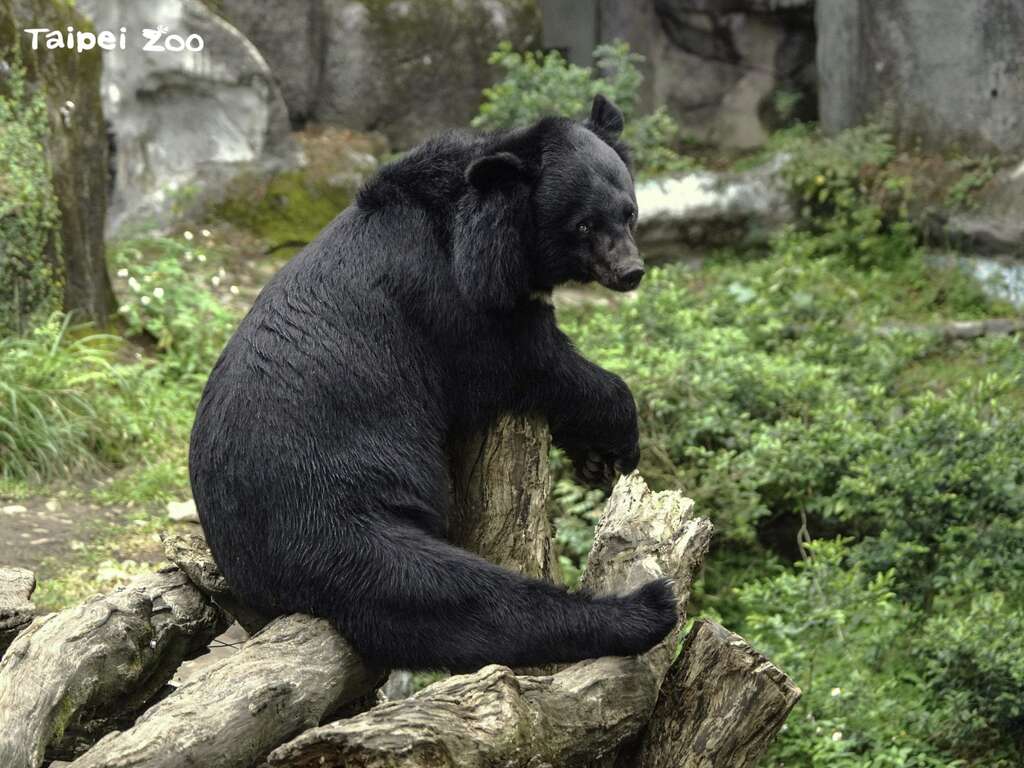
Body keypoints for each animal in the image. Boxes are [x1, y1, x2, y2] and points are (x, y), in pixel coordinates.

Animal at [189, 95, 677, 672]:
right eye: (582, 225)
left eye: (630, 212)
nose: (631, 271)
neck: (481, 231)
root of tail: (244, 575)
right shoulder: (448, 303)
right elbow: (532, 364)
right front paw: (617, 443)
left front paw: (594, 461)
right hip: (328, 519)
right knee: (445, 596)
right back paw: (643, 609)